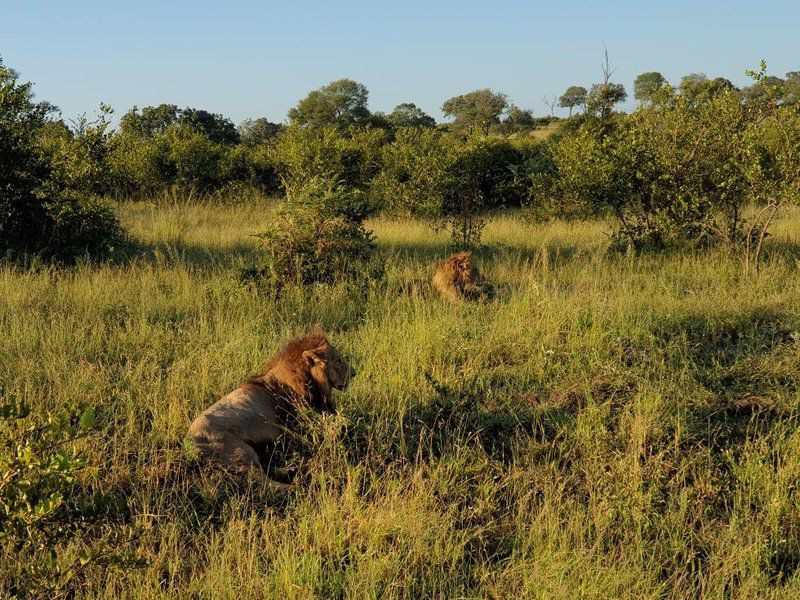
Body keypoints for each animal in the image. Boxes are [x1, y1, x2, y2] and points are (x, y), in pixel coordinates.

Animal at [188, 328, 354, 492]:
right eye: (339, 361)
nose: (354, 373)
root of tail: (190, 444)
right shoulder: (298, 427)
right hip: (240, 451)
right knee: (259, 480)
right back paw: (296, 486)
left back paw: (289, 468)